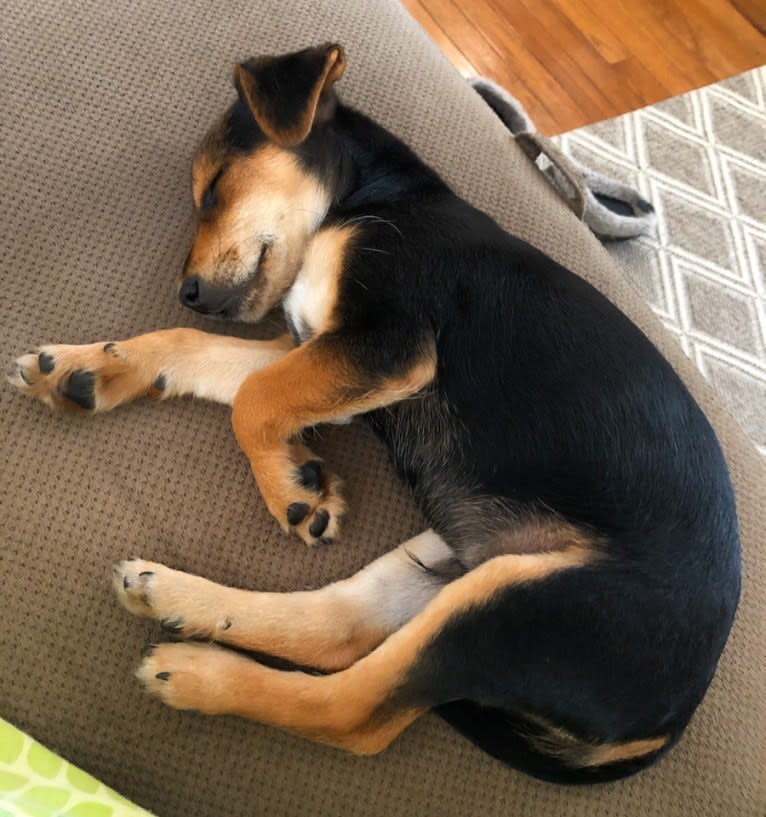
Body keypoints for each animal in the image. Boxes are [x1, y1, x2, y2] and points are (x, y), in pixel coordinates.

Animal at [10, 44, 744, 784]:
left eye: (215, 187)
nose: (185, 292)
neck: (374, 200)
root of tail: (669, 723)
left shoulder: (387, 343)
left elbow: (253, 397)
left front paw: (290, 486)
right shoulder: (317, 345)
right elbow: (199, 354)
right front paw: (86, 370)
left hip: (523, 602)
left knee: (351, 712)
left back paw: (196, 674)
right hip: (454, 561)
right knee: (339, 629)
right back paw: (178, 598)